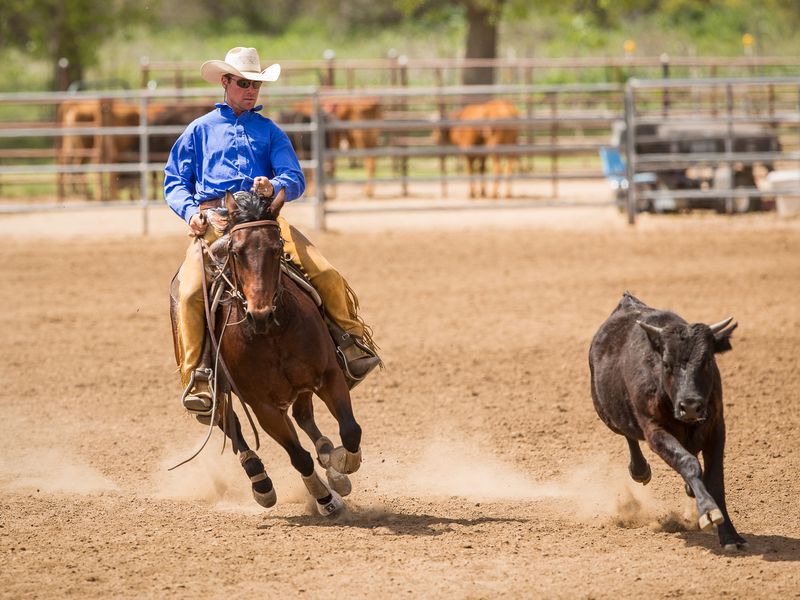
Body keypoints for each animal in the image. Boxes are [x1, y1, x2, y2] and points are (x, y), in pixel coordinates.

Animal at [171, 190, 363, 517]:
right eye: (236, 252)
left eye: (277, 249)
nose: (259, 314)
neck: (270, 334)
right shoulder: (262, 406)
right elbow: (298, 456)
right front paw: (325, 499)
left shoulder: (329, 376)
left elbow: (350, 430)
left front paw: (342, 467)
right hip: (219, 391)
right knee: (229, 423)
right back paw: (259, 479)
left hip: (299, 386)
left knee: (303, 416)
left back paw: (328, 457)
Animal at [589, 292, 746, 551]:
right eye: (666, 364)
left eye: (706, 361)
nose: (690, 405)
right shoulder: (655, 431)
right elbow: (688, 462)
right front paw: (708, 512)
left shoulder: (716, 427)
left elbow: (715, 479)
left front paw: (730, 535)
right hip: (608, 414)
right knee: (629, 435)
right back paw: (640, 471)